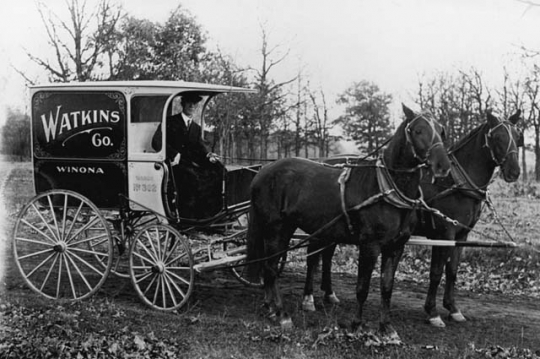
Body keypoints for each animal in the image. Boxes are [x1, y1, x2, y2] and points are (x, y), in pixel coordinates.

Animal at [247, 103, 450, 338]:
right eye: (417, 130)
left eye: (441, 130)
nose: (442, 166)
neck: (385, 189)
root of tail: (262, 171)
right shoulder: (369, 245)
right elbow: (362, 288)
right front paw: (357, 325)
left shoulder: (395, 247)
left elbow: (386, 287)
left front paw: (387, 327)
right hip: (276, 228)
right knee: (271, 268)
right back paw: (282, 314)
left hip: (285, 228)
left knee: (268, 265)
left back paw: (271, 307)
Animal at [306, 109, 524, 330]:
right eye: (498, 137)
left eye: (517, 137)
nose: (514, 172)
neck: (455, 183)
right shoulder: (444, 234)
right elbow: (436, 273)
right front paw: (433, 312)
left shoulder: (462, 235)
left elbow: (452, 271)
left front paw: (453, 309)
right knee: (313, 256)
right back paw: (309, 298)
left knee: (326, 254)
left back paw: (329, 294)